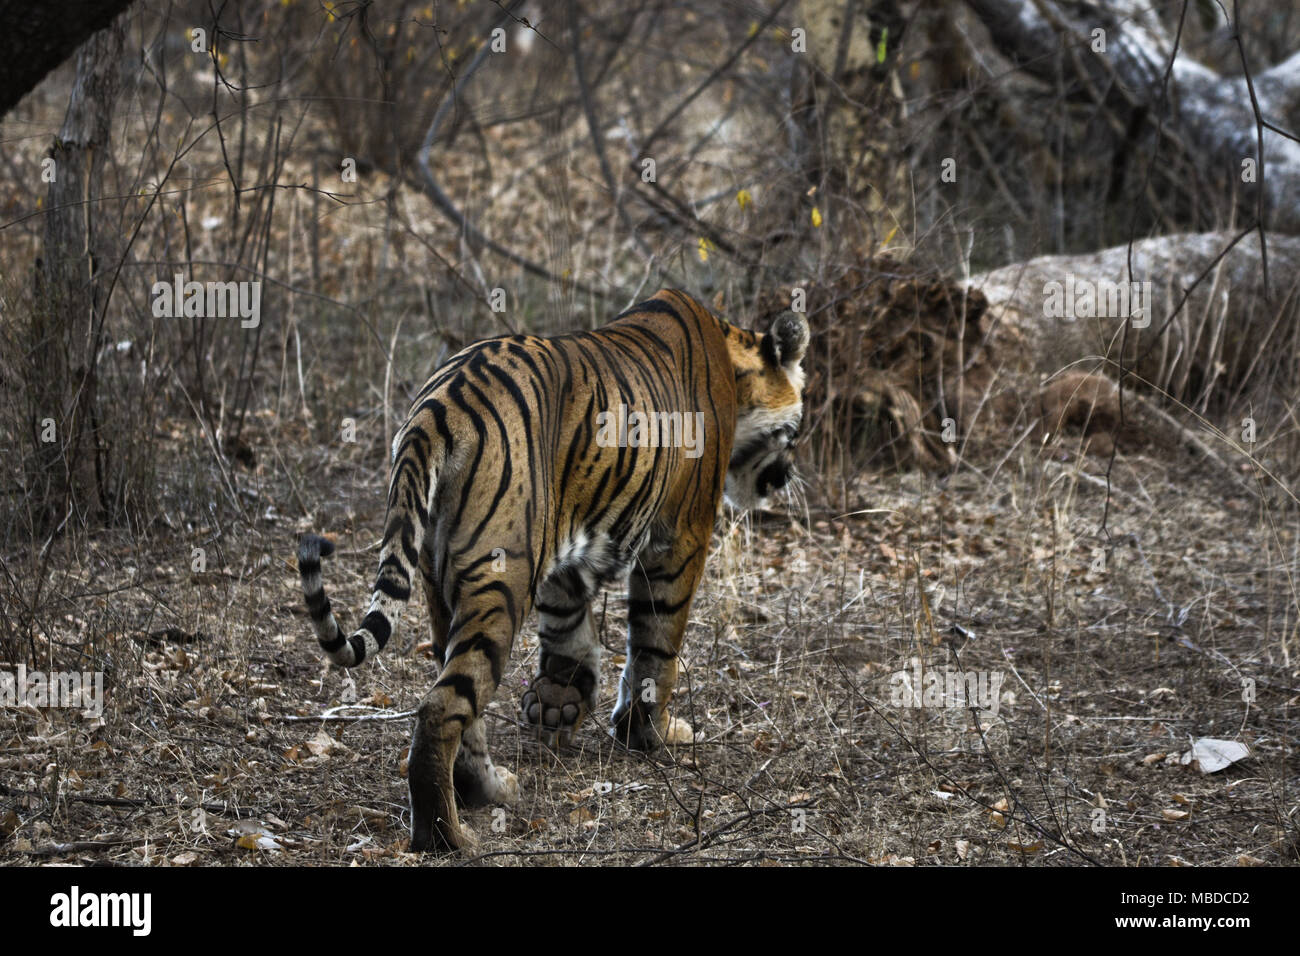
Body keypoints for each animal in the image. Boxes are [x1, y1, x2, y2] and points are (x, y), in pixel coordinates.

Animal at [297, 286, 806, 853]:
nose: (788, 475)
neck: (732, 358)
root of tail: (438, 405)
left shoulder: (570, 540)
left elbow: (567, 630)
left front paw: (561, 703)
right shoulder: (681, 536)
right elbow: (657, 645)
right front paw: (650, 732)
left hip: (439, 580)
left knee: (458, 694)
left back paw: (490, 789)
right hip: (502, 574)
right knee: (440, 708)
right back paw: (446, 835)